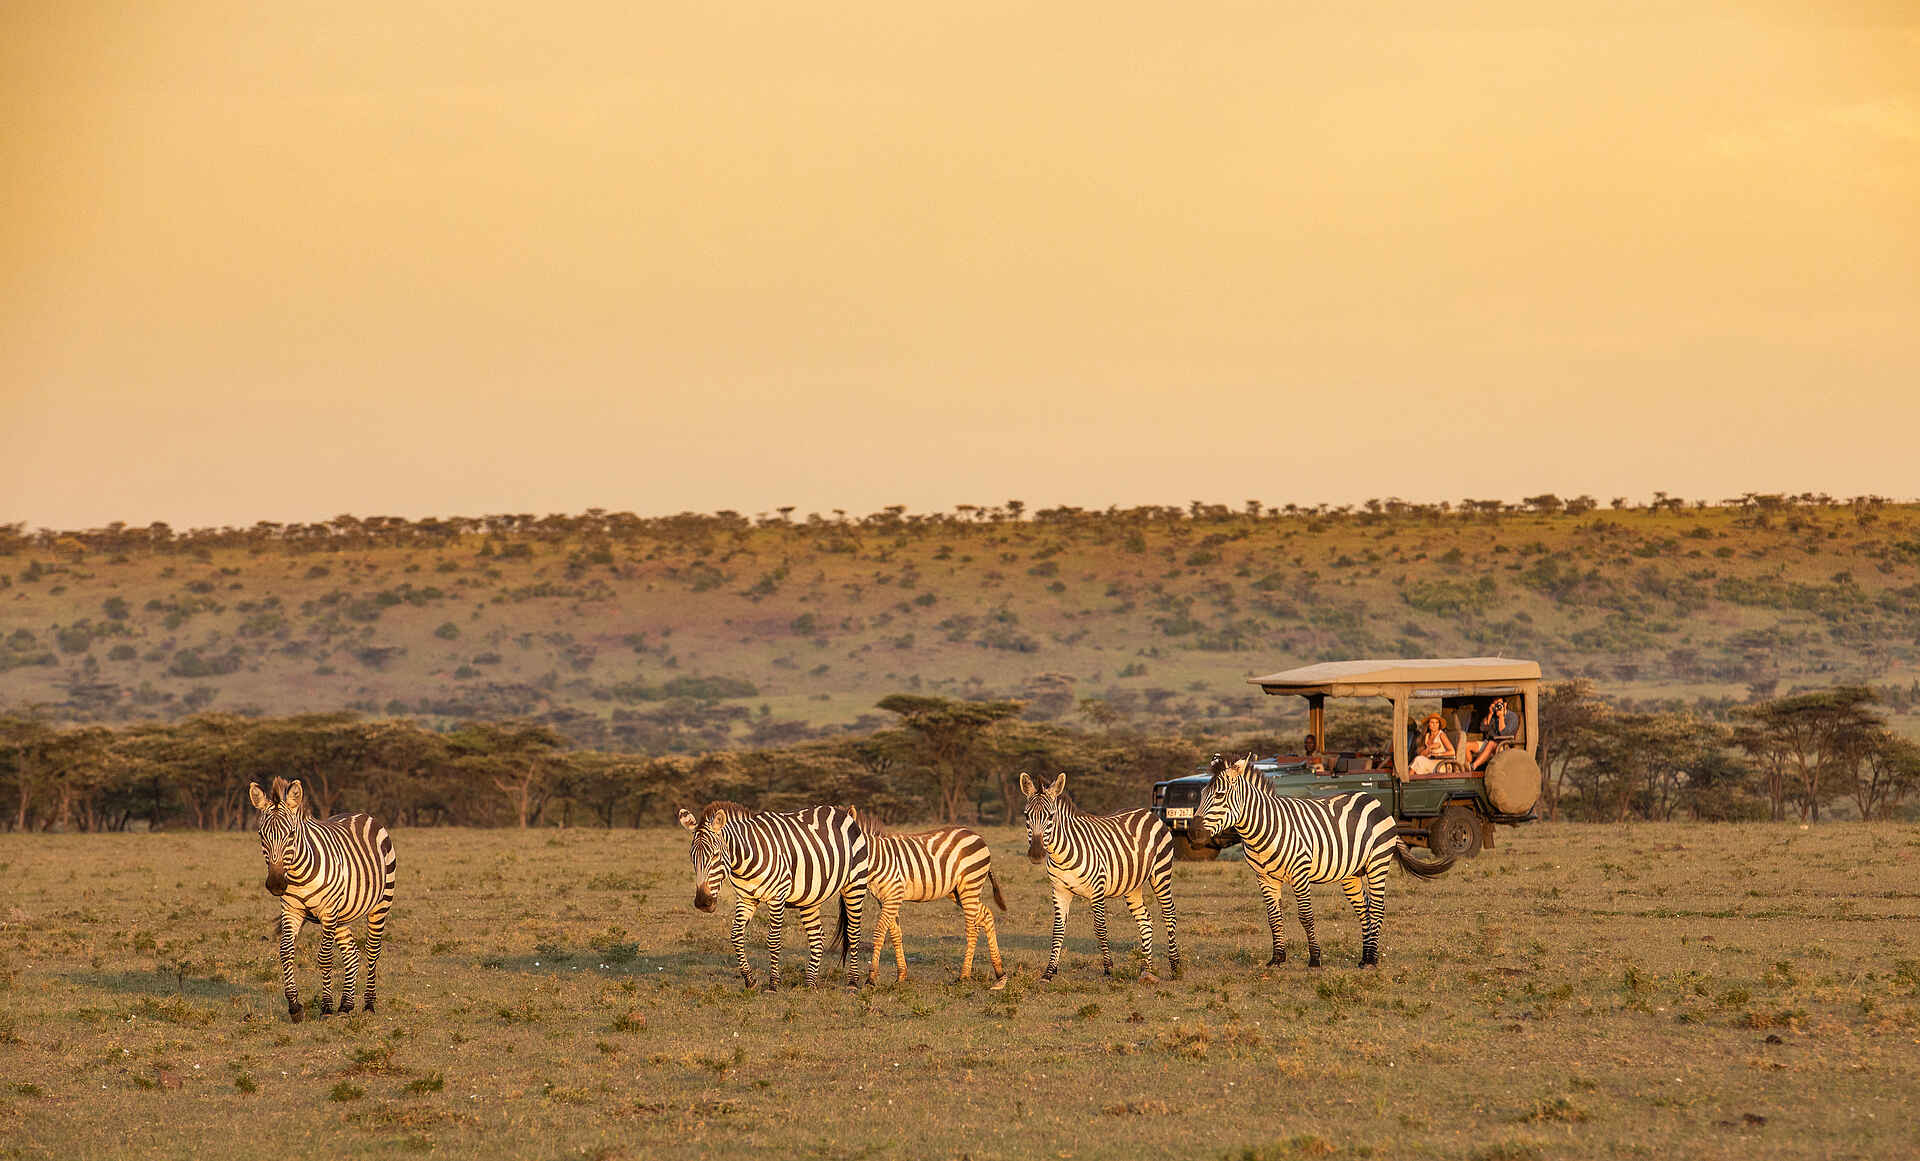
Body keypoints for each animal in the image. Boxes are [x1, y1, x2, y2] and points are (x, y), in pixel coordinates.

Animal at [247, 777, 397, 1023]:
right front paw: (295, 1006)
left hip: (380, 903)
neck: (297, 874)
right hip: (342, 915)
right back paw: (346, 1005)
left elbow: (325, 957)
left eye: (291, 834)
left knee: (373, 950)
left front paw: (326, 1007)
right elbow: (285, 952)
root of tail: (360, 814)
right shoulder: (291, 911)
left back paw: (368, 1005)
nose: (276, 884)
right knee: (351, 954)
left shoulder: (328, 911)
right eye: (261, 835)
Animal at [677, 802, 870, 990]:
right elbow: (736, 935)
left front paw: (773, 983)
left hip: (855, 885)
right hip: (810, 897)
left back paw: (852, 983)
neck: (745, 861)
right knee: (817, 937)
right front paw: (750, 980)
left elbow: (774, 940)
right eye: (692, 857)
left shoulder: (777, 898)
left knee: (853, 933)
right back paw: (810, 983)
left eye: (716, 855)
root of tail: (843, 812)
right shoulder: (746, 898)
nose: (703, 902)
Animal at [845, 806, 1008, 989]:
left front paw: (871, 978)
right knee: (986, 915)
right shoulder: (885, 899)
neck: (876, 860)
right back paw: (1000, 974)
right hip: (957, 892)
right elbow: (895, 934)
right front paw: (901, 976)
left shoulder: (893, 895)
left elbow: (879, 933)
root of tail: (977, 835)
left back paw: (964, 975)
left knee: (972, 929)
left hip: (970, 885)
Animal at [1019, 772, 1181, 982]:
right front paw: (1049, 971)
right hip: (1133, 885)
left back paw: (1175, 967)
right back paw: (1146, 968)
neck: (1061, 854)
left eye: (1051, 816)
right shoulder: (1059, 891)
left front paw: (1108, 968)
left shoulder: (1097, 889)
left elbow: (1100, 928)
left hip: (1161, 873)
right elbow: (1058, 930)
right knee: (1145, 919)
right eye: (1026, 815)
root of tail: (1147, 812)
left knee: (1169, 915)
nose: (1036, 854)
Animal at [1190, 753, 1454, 968]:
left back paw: (1372, 960)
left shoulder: (1300, 873)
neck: (1261, 829)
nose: (1194, 833)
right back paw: (1365, 957)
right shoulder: (1264, 878)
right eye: (1201, 795)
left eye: (1219, 795)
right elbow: (1273, 918)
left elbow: (1306, 916)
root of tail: (1372, 799)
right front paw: (1277, 959)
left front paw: (1315, 958)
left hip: (1377, 863)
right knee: (1364, 909)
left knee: (1377, 908)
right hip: (1351, 874)